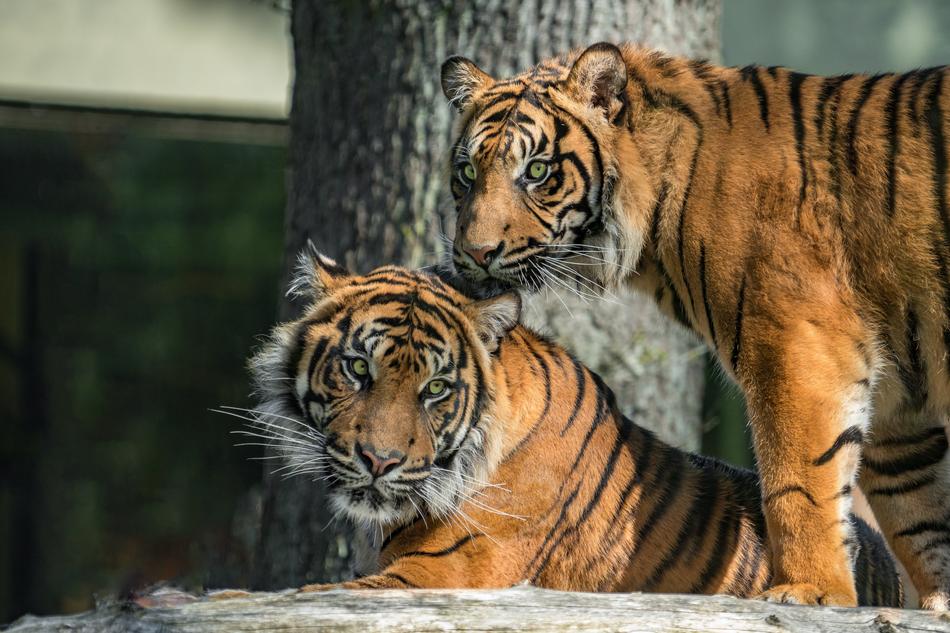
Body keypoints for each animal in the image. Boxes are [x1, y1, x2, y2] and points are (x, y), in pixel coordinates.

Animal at [438, 42, 950, 608]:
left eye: (536, 170)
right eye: (467, 173)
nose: (474, 253)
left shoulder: (800, 345)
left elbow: (799, 482)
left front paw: (808, 591)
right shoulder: (899, 399)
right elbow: (920, 517)